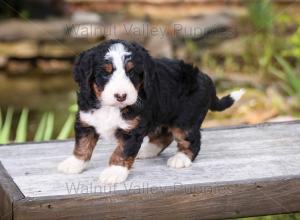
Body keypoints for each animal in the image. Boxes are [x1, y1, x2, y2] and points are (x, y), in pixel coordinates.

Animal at [57, 39, 245, 184]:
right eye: (105, 73)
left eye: (132, 72)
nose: (121, 96)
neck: (111, 107)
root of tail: (206, 78)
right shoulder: (86, 121)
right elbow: (82, 144)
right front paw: (74, 163)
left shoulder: (132, 130)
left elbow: (121, 151)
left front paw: (114, 172)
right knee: (164, 135)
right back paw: (147, 151)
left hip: (185, 121)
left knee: (191, 141)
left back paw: (180, 158)